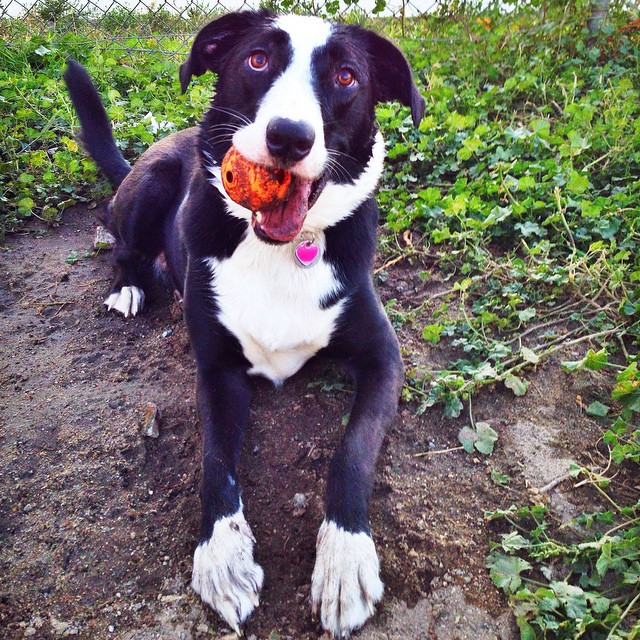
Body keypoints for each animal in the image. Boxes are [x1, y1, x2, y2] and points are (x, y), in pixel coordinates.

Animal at [65, 11, 424, 640]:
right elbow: (214, 462)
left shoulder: (385, 361)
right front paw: (222, 557)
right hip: (152, 182)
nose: (289, 137)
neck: (280, 249)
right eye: (257, 60)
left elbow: (352, 451)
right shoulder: (217, 370)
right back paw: (129, 286)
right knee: (120, 245)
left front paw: (344, 559)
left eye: (347, 76)